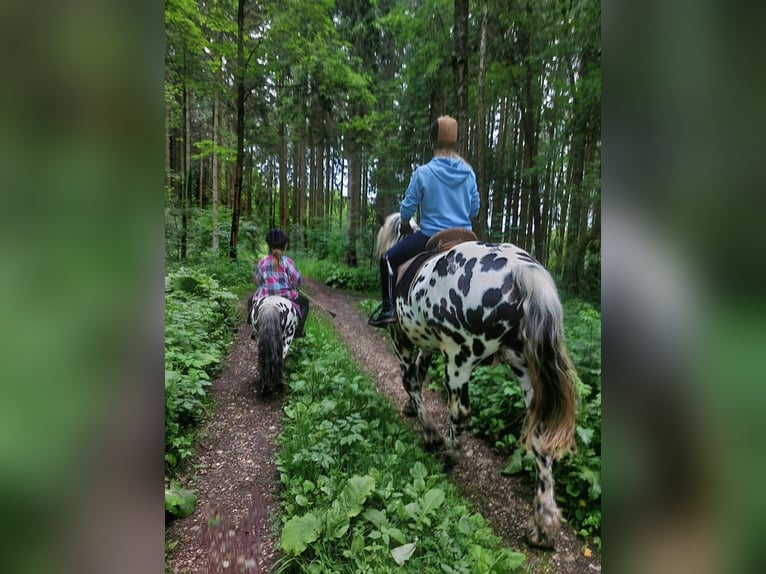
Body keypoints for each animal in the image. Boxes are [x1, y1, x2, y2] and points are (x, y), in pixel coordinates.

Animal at [376, 213, 580, 548]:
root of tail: (522, 270)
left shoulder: (402, 339)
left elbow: (411, 380)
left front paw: (429, 434)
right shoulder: (429, 345)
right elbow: (419, 374)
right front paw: (412, 411)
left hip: (459, 357)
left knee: (460, 411)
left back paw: (448, 454)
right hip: (524, 367)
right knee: (540, 435)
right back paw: (543, 526)